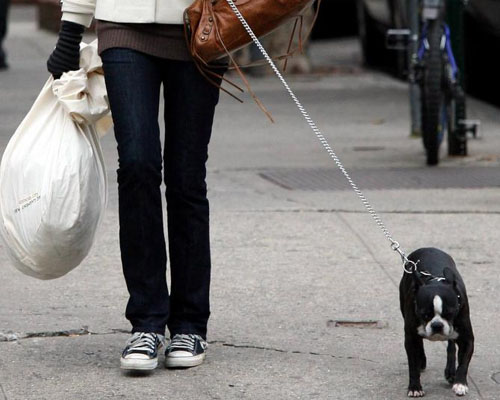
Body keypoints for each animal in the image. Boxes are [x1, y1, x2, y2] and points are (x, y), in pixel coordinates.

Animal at [400, 248, 474, 396]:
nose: (437, 325)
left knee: (451, 345)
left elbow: (463, 363)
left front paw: (460, 383)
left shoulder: (467, 339)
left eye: (450, 313)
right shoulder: (410, 338)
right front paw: (415, 387)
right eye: (424, 314)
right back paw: (422, 360)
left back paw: (451, 372)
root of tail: (428, 248)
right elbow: (412, 365)